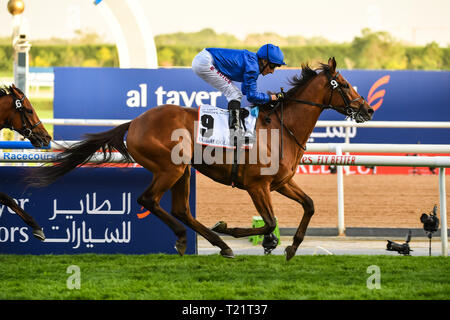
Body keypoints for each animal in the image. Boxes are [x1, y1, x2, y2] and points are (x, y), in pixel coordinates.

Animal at [28, 58, 372, 260]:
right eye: (343, 85)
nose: (367, 109)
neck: (280, 127)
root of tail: (135, 122)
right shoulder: (257, 185)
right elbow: (270, 221)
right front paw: (239, 231)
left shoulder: (281, 182)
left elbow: (309, 206)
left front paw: (290, 247)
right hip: (170, 167)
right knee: (149, 200)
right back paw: (197, 239)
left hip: (183, 171)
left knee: (180, 209)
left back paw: (218, 244)